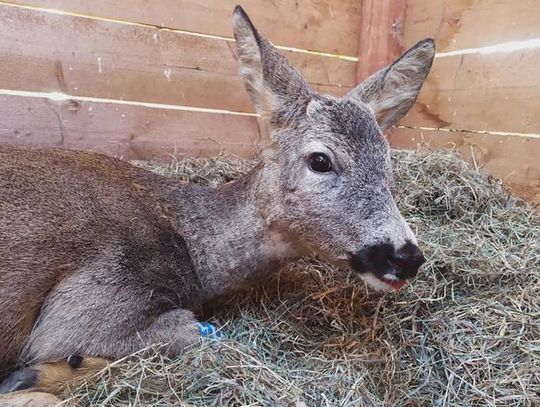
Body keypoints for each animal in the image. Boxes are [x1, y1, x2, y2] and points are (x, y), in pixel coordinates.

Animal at [0, 5, 434, 404]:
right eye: (320, 160)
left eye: (387, 162)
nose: (406, 256)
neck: (190, 245)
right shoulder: (81, 309)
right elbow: (189, 329)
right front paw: (41, 374)